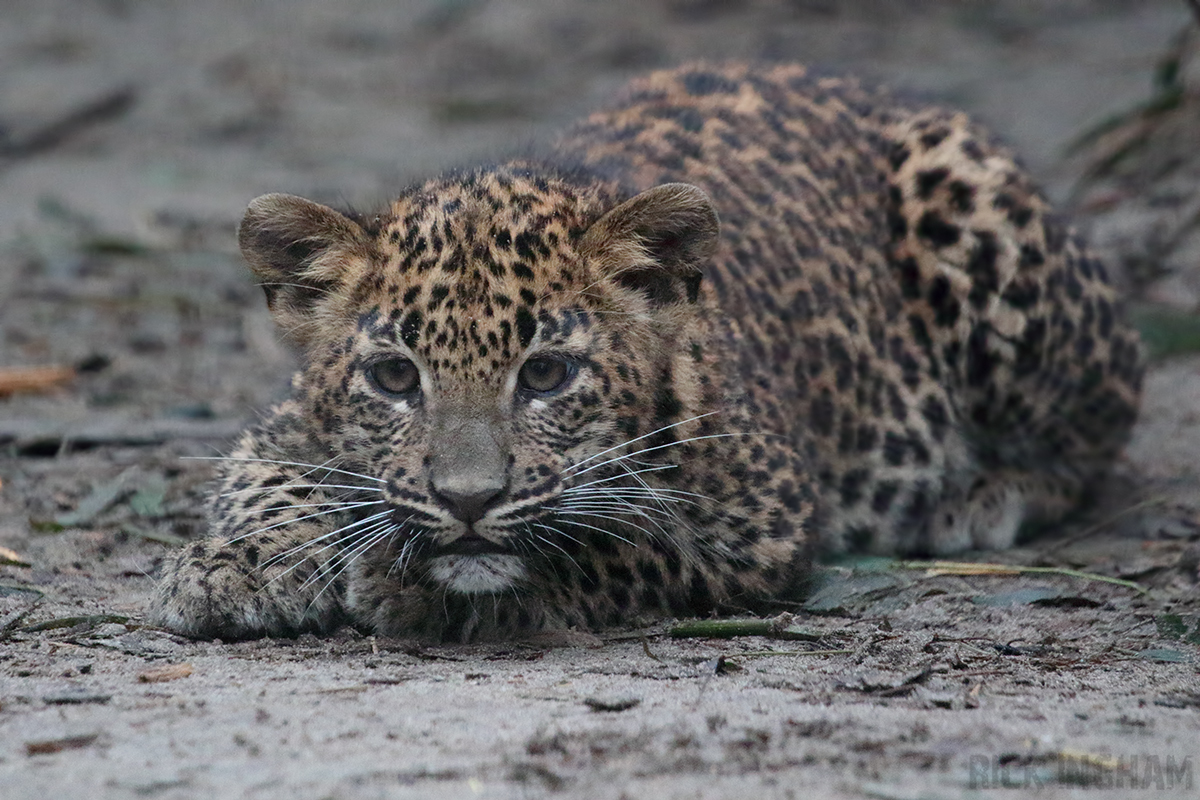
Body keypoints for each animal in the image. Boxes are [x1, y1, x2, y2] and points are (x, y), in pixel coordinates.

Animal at [151, 62, 1143, 642]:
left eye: (547, 374)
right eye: (396, 377)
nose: (468, 502)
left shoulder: (759, 514)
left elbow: (618, 540)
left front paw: (432, 590)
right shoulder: (278, 432)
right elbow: (267, 483)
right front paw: (237, 565)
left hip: (981, 226)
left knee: (1101, 424)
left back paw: (986, 496)